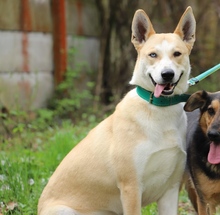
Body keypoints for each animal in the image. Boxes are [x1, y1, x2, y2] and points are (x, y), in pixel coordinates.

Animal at [37, 6, 196, 215]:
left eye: (177, 53)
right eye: (153, 55)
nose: (167, 74)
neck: (159, 109)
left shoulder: (170, 190)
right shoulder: (131, 187)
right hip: (65, 210)